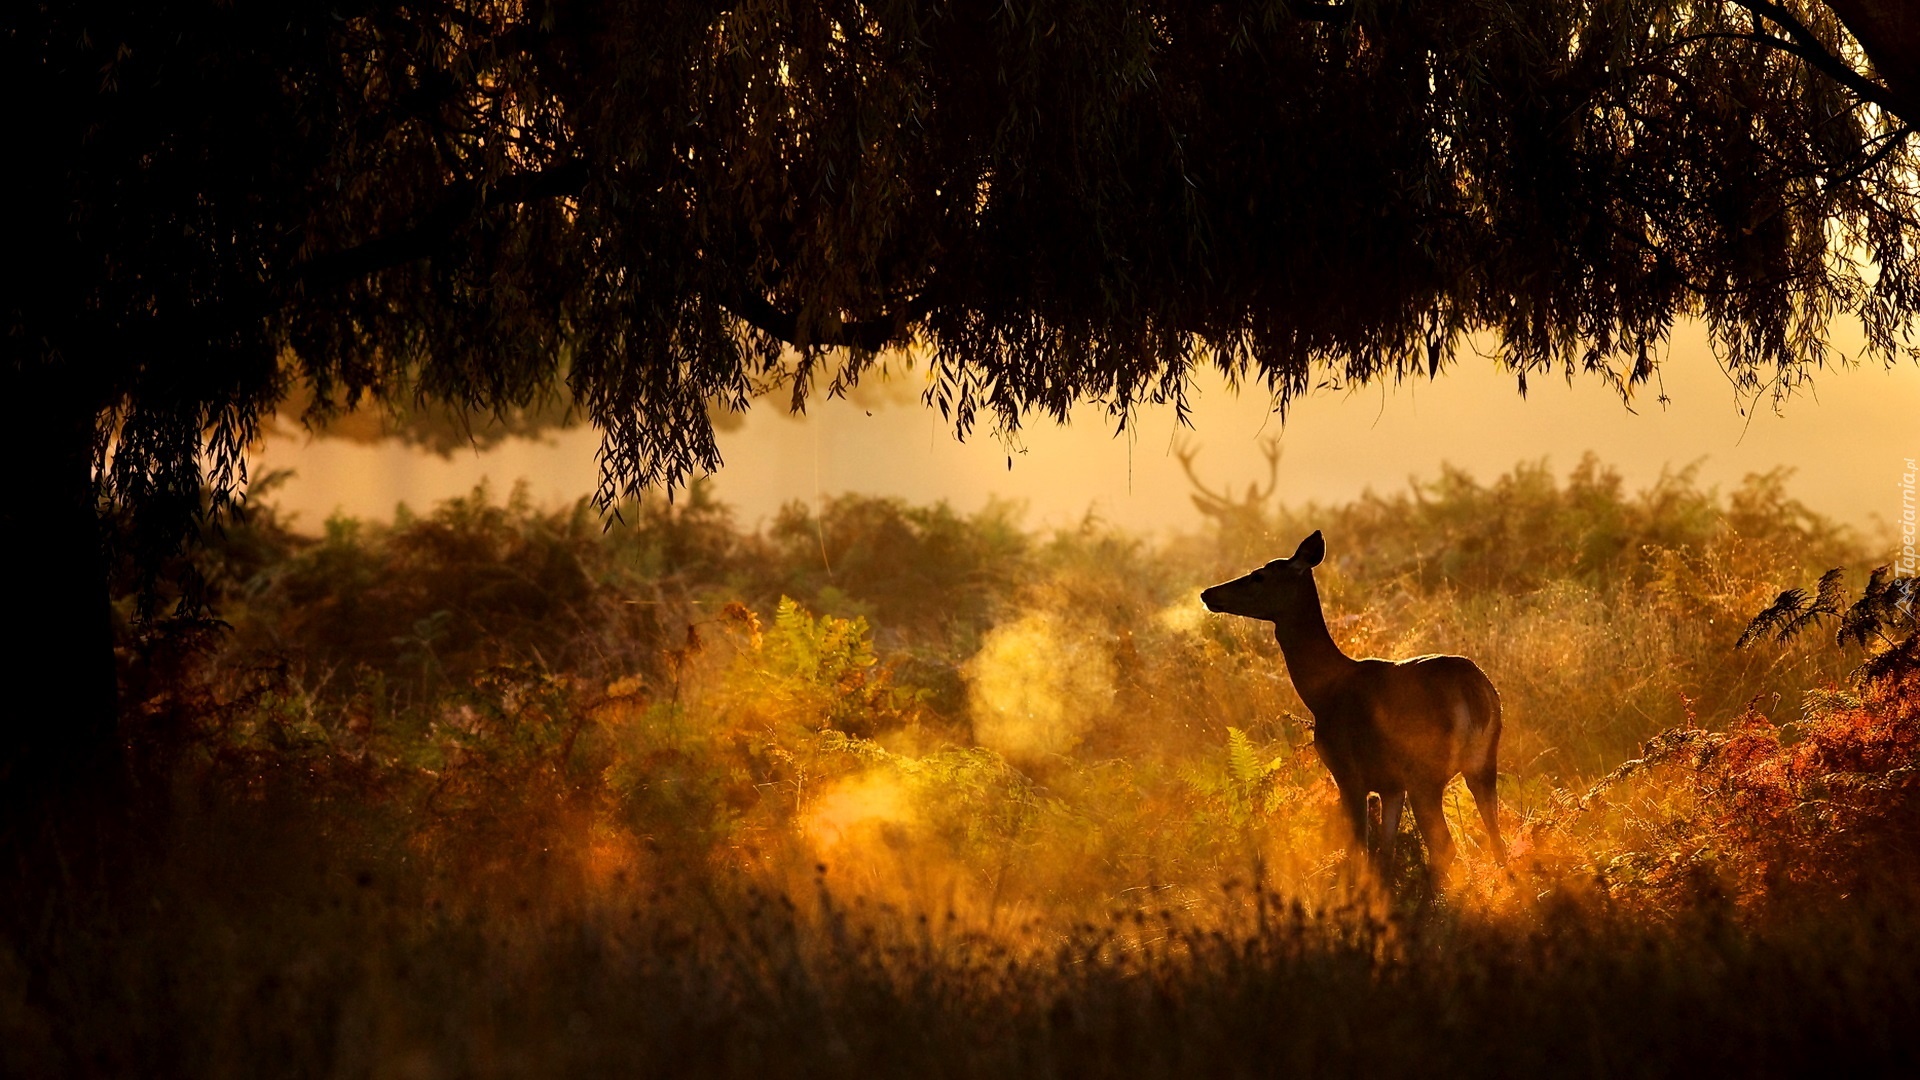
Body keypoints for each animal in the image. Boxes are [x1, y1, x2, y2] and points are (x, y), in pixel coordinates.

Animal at [1198, 526, 1497, 880]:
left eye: (1259, 575)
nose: (1208, 593)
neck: (1321, 692)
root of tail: (1472, 689)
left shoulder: (1347, 771)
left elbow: (1360, 852)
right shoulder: (1391, 785)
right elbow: (1385, 853)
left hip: (1425, 771)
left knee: (1446, 848)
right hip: (1484, 762)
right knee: (1498, 837)